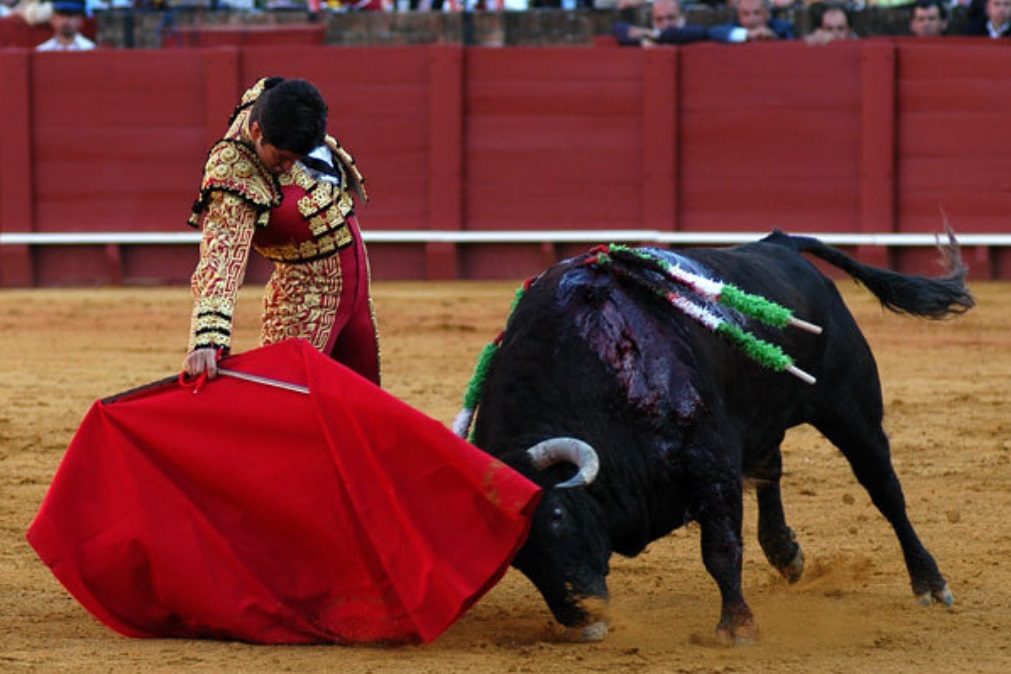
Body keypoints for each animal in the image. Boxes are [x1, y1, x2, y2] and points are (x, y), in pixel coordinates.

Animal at [469, 230, 974, 642]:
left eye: (555, 515)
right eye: (513, 554)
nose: (582, 618)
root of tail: (780, 244)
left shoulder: (710, 460)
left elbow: (720, 547)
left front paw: (737, 626)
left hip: (851, 410)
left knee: (885, 489)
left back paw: (930, 584)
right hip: (764, 415)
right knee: (772, 467)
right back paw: (786, 553)